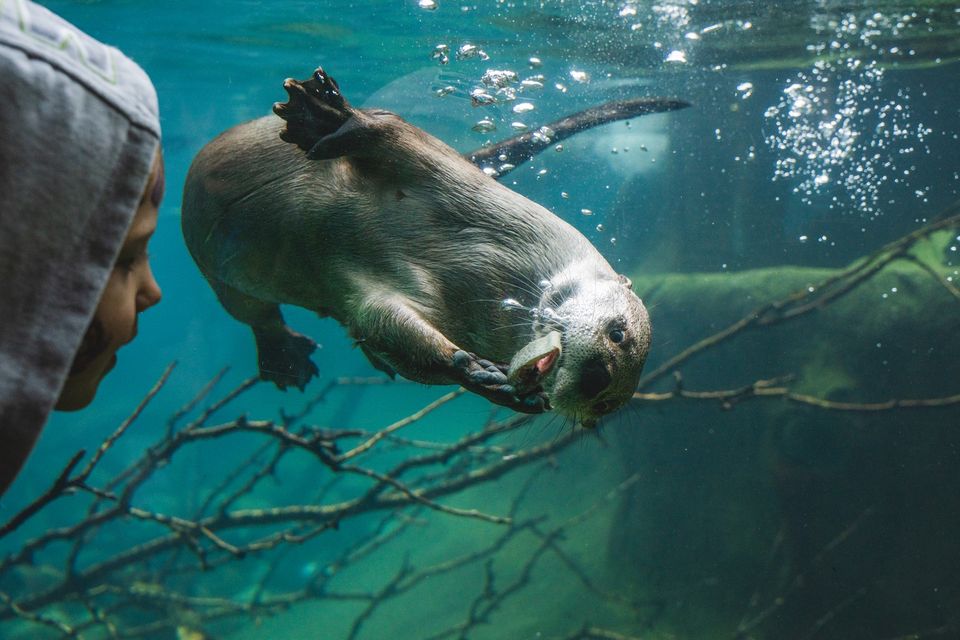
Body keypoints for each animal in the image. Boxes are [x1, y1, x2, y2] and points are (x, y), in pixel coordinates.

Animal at [182, 68, 682, 426]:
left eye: (605, 406)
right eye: (618, 334)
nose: (597, 379)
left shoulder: (378, 292)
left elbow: (382, 322)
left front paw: (487, 379)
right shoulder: (438, 171)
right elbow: (391, 134)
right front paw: (327, 115)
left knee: (264, 317)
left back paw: (288, 360)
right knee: (254, 312)